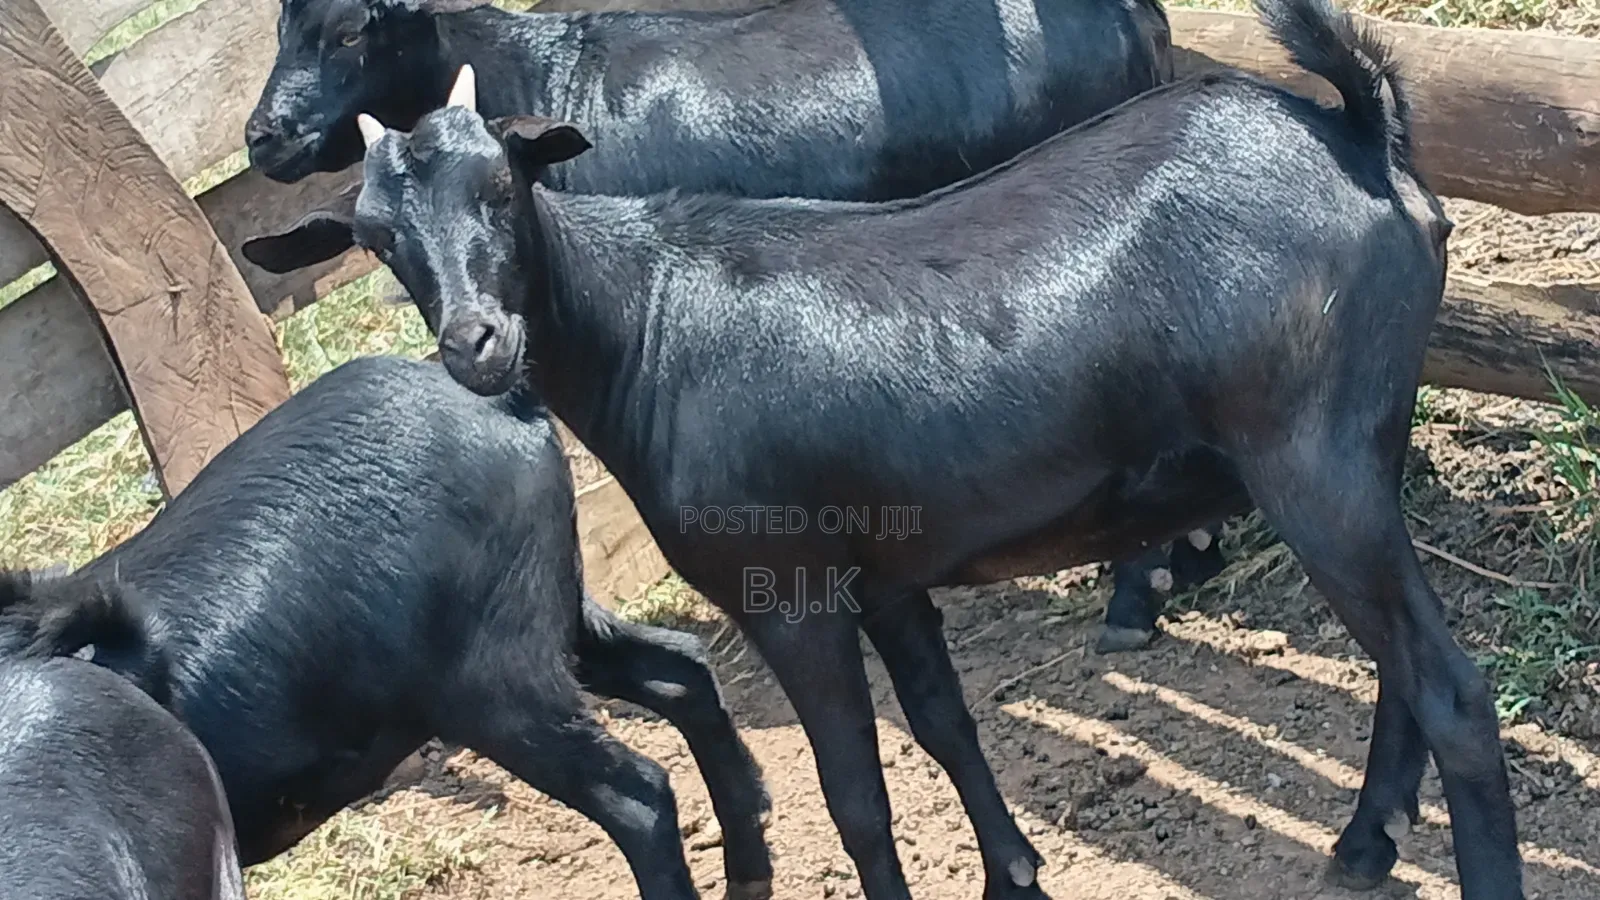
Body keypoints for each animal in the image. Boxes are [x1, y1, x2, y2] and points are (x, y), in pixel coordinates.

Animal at [240, 0, 1521, 895]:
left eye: (504, 185)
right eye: (376, 237)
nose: (477, 342)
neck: (647, 323)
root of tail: (1358, 133)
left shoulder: (789, 592)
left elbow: (855, 795)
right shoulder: (890, 571)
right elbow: (945, 728)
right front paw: (1015, 874)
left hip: (1308, 454)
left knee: (1452, 692)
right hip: (1360, 442)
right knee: (1402, 668)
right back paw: (1362, 842)